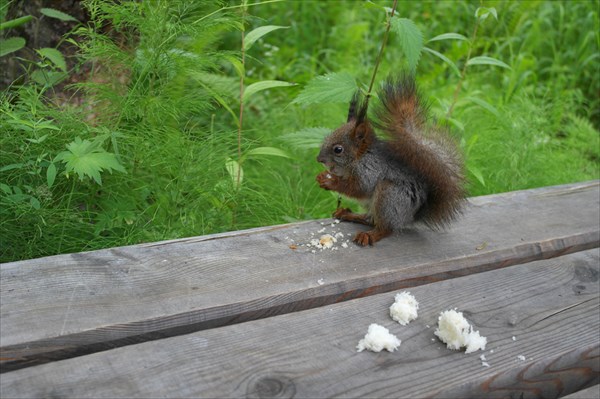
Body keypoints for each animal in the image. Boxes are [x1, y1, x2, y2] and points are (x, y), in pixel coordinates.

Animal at [316, 73, 466, 245]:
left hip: (389, 196)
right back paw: (348, 214)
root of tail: (410, 217)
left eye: (338, 150)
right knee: (370, 219)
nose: (319, 159)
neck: (359, 158)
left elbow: (358, 188)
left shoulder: (370, 170)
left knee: (385, 228)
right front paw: (322, 176)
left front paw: (331, 181)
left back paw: (369, 235)